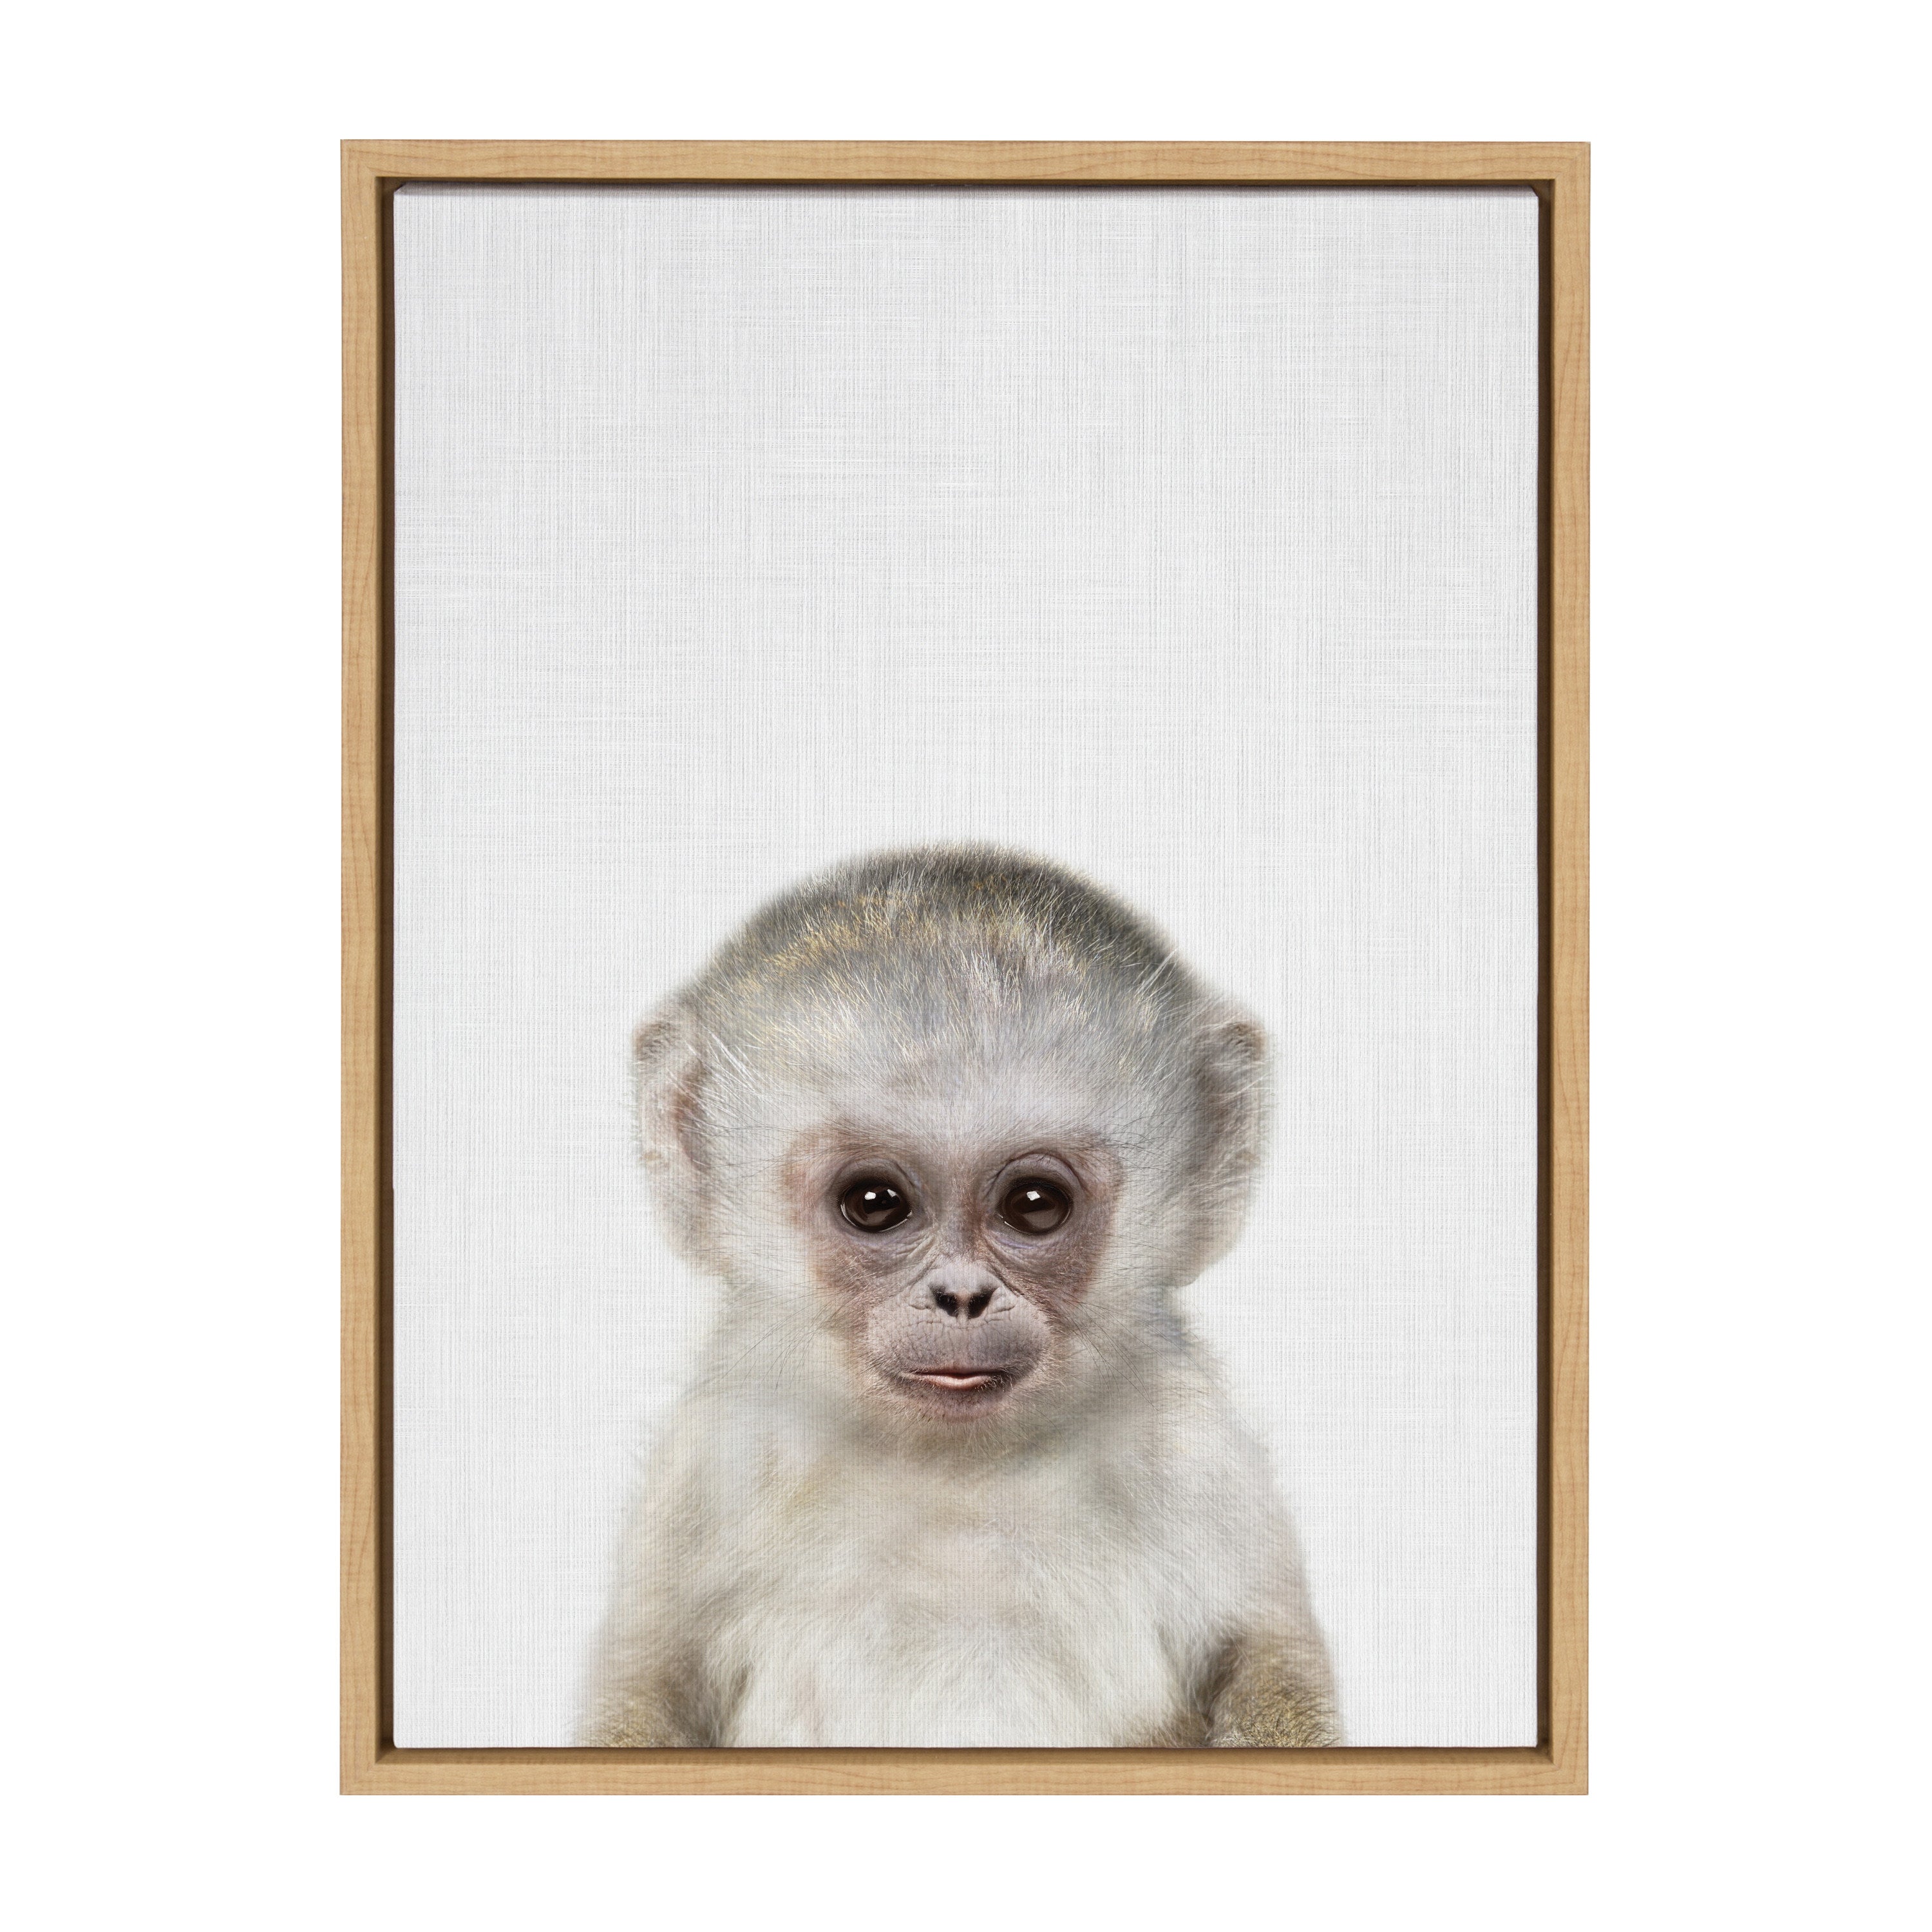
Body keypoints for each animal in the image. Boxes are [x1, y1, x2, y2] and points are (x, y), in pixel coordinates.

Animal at [580, 846, 1339, 1749]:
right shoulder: (710, 1458)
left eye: (1035, 1205)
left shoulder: (1196, 1450)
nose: (963, 1297)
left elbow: (1269, 1661)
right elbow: (646, 1687)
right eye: (875, 1204)